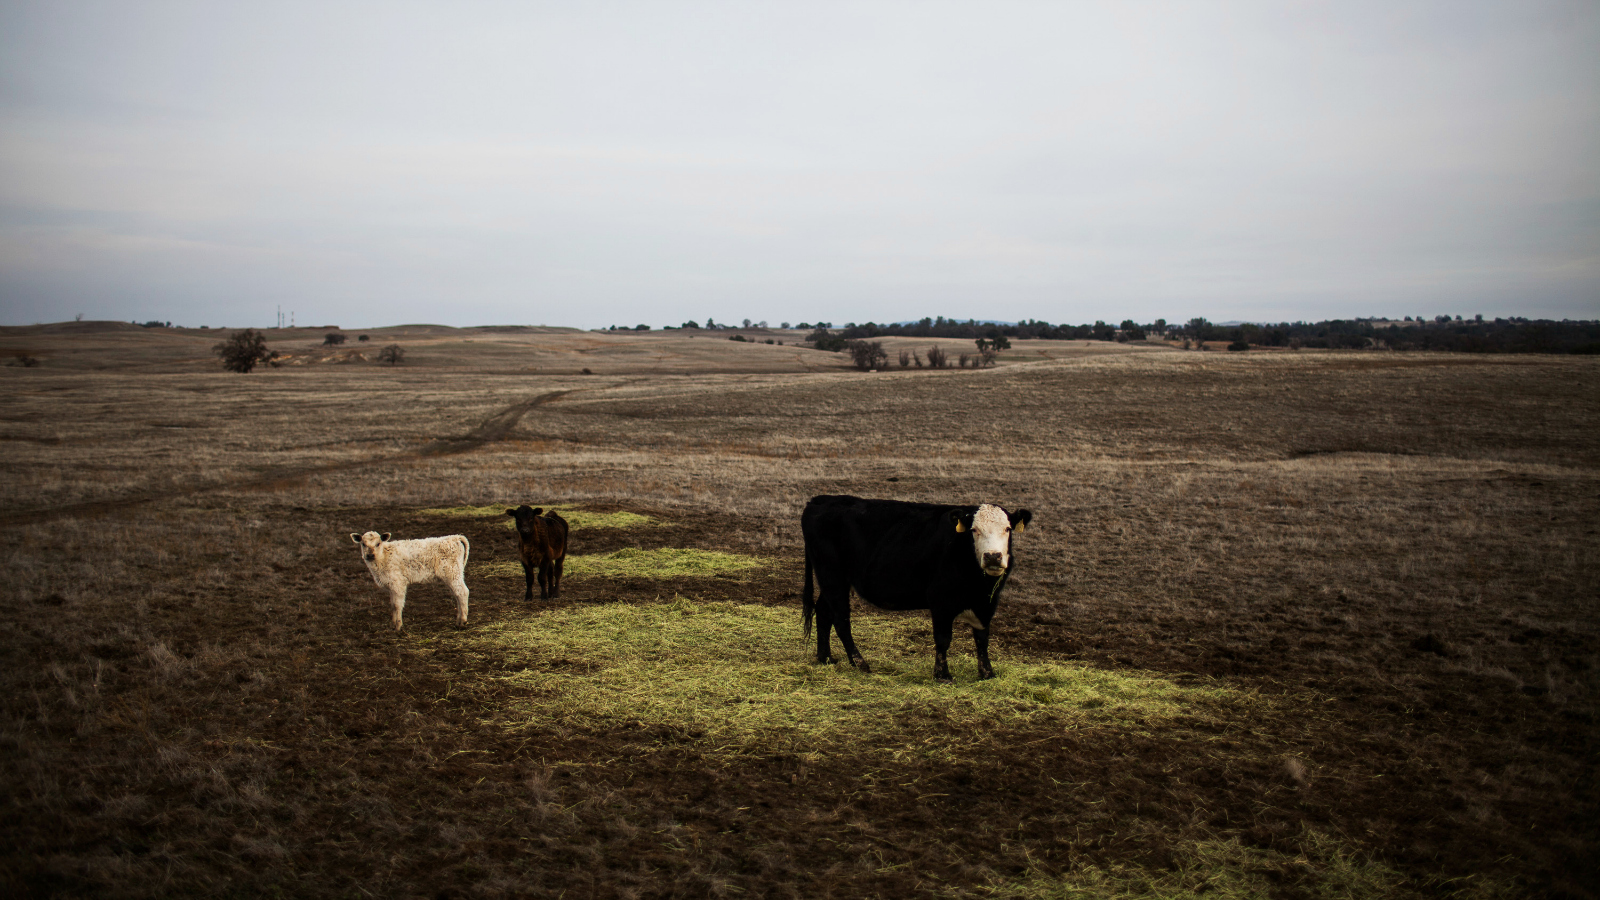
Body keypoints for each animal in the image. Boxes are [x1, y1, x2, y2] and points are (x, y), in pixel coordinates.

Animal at [800, 490, 1036, 679]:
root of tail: (819, 500)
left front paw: (987, 673)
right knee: (841, 620)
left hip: (834, 580)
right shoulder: (940, 601)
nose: (993, 556)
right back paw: (859, 663)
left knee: (823, 612)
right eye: (974, 530)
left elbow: (982, 638)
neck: (979, 584)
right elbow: (943, 639)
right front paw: (942, 675)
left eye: (1007, 529)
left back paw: (825, 658)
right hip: (832, 576)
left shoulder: (986, 603)